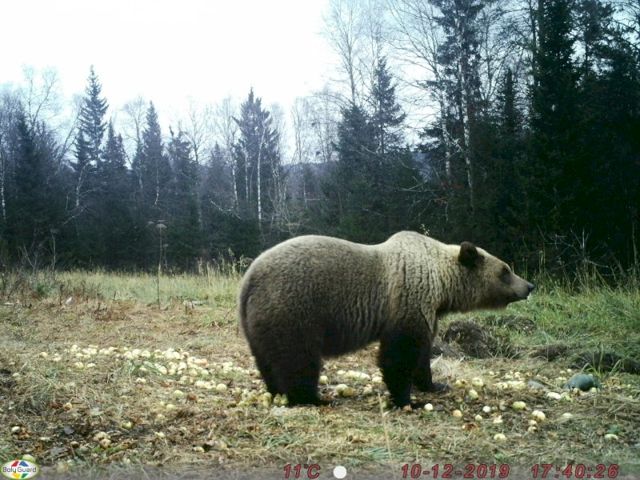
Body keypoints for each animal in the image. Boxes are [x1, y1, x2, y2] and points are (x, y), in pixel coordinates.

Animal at [238, 231, 534, 408]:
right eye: (505, 270)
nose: (529, 286)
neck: (440, 285)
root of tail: (249, 278)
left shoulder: (428, 312)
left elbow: (423, 352)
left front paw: (434, 384)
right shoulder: (407, 300)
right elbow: (399, 355)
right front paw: (407, 399)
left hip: (258, 322)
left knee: (267, 358)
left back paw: (276, 389)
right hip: (293, 308)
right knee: (298, 358)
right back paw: (312, 398)